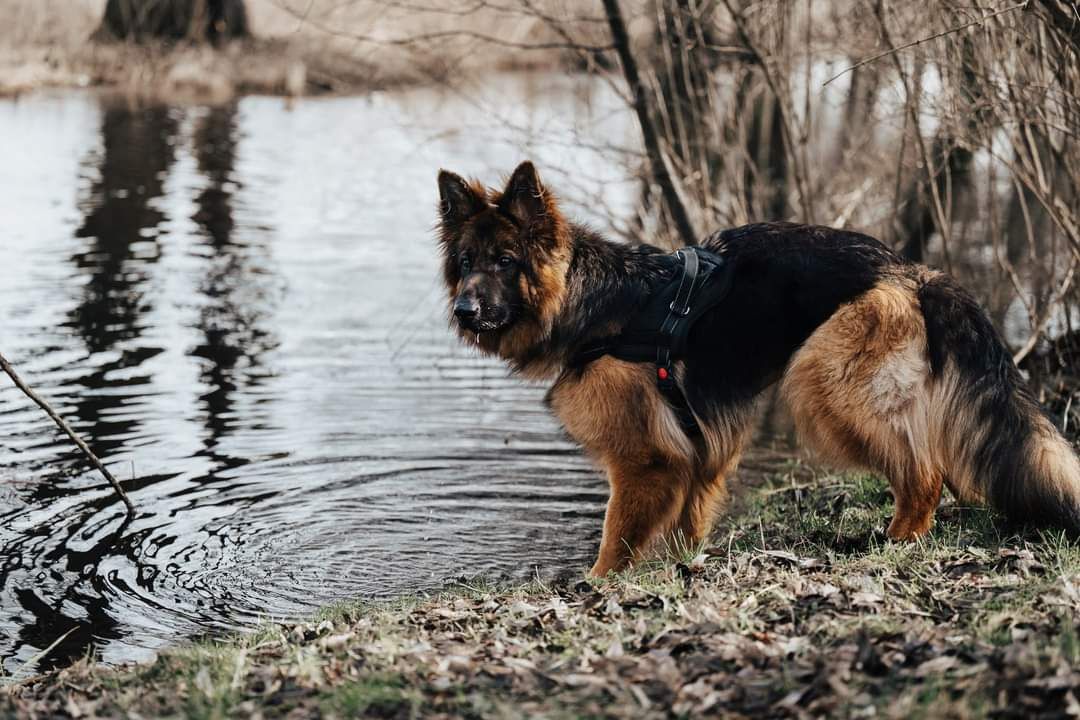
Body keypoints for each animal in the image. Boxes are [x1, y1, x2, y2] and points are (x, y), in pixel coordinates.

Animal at [436, 160, 1080, 578]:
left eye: (505, 261)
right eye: (465, 262)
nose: (463, 310)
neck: (587, 300)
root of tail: (911, 270)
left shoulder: (644, 460)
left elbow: (615, 539)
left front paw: (598, 587)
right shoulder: (697, 452)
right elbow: (688, 521)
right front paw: (681, 568)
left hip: (823, 385)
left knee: (925, 472)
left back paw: (894, 544)